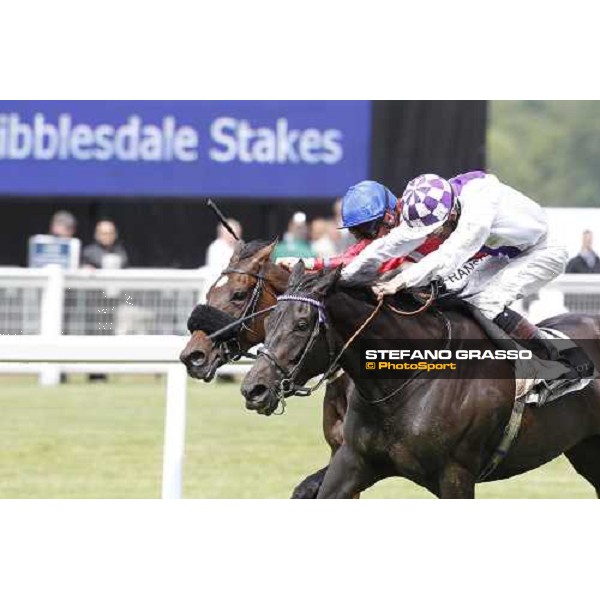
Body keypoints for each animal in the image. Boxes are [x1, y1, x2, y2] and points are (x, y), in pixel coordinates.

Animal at [241, 264, 600, 500]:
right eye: (269, 320)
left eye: (302, 324)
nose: (253, 389)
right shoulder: (354, 461)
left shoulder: (456, 475)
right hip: (585, 450)